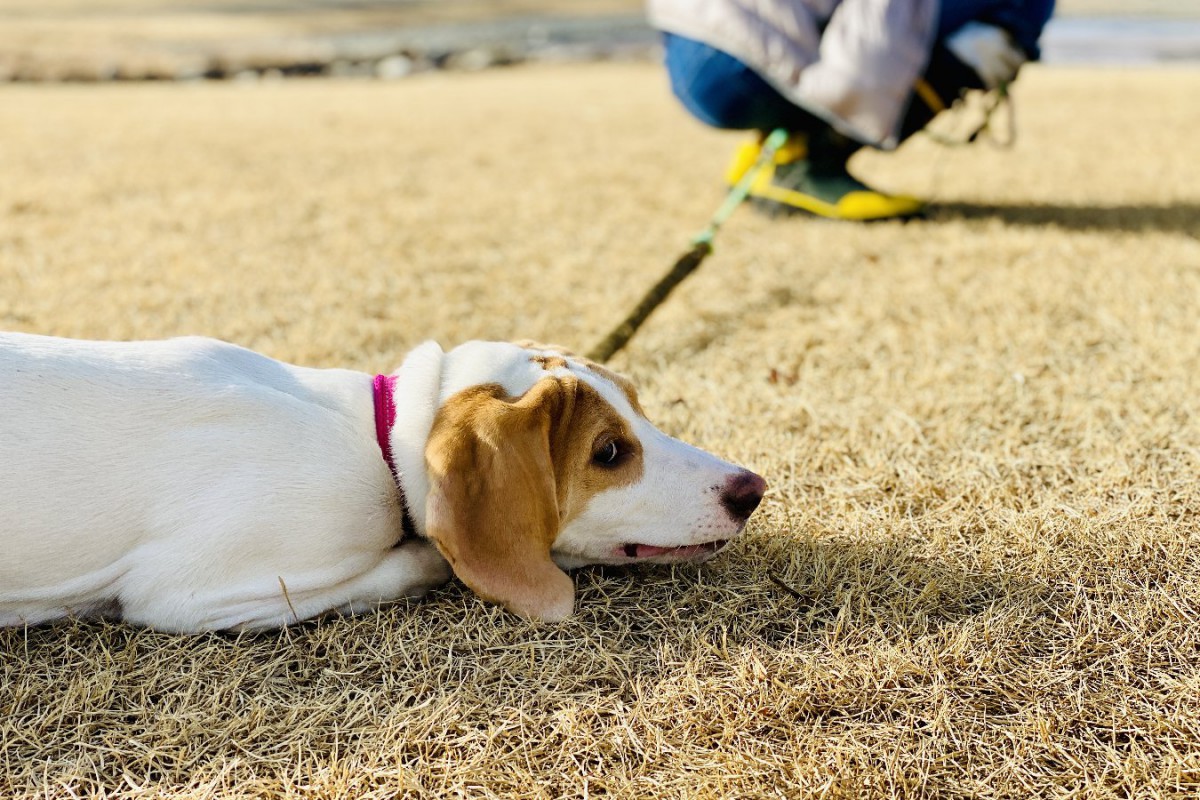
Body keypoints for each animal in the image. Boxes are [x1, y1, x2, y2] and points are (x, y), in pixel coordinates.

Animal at [0, 331, 763, 633]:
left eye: (641, 405)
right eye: (608, 451)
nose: (752, 489)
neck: (378, 441)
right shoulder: (188, 595)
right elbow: (417, 562)